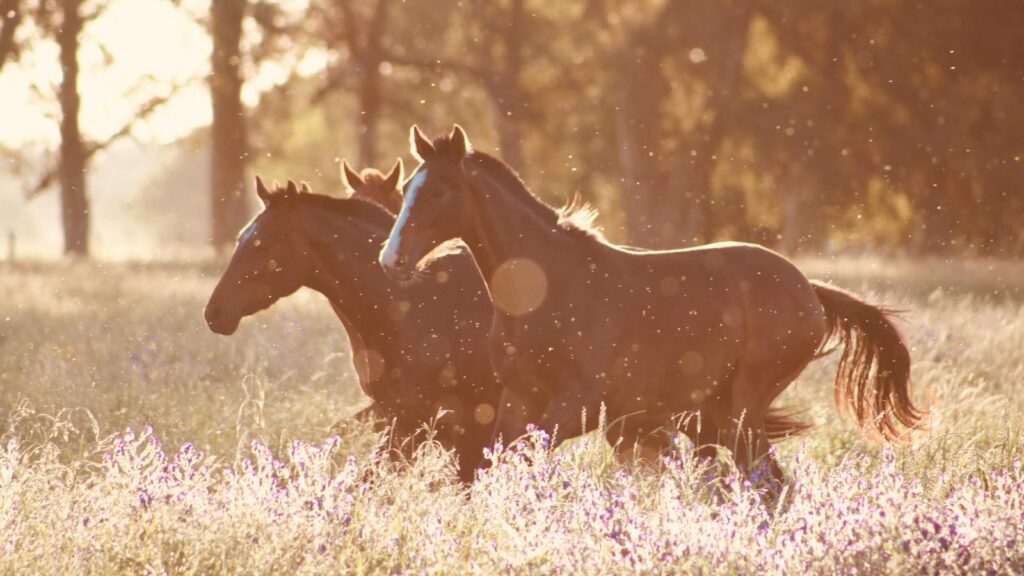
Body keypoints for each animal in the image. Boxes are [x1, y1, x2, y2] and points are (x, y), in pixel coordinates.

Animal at [378, 125, 926, 478]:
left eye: (440, 191)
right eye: (407, 189)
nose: (391, 259)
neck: (543, 289)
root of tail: (809, 289)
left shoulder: (578, 407)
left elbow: (520, 461)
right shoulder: (519, 400)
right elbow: (494, 463)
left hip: (743, 407)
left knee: (766, 482)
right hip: (716, 413)